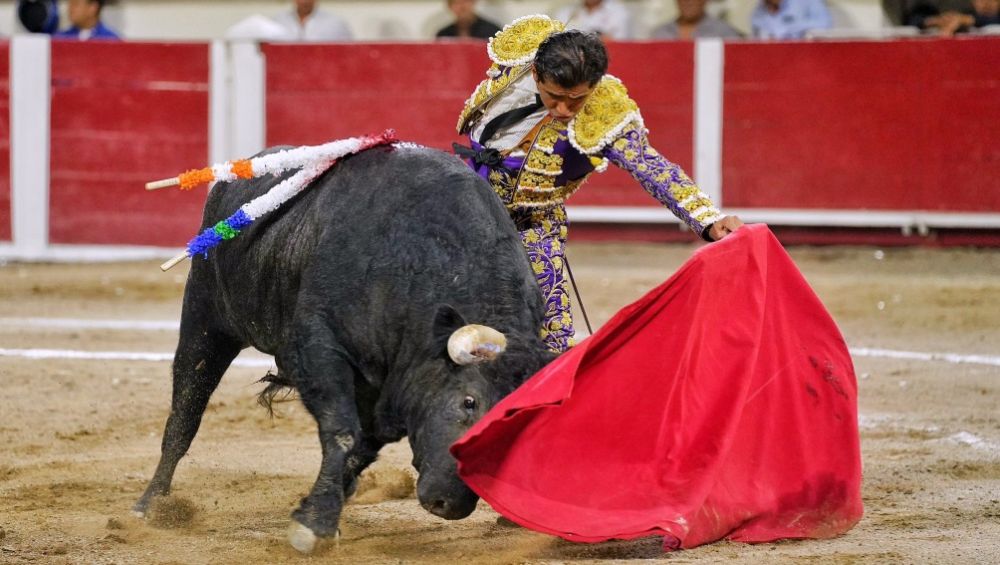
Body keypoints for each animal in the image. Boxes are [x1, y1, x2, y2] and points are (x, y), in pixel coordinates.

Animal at [132, 144, 556, 552]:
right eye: (469, 402)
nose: (450, 504)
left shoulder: (383, 389)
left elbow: (361, 448)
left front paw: (317, 510)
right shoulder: (317, 349)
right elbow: (343, 433)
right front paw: (316, 525)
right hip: (206, 319)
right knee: (185, 411)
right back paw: (151, 506)